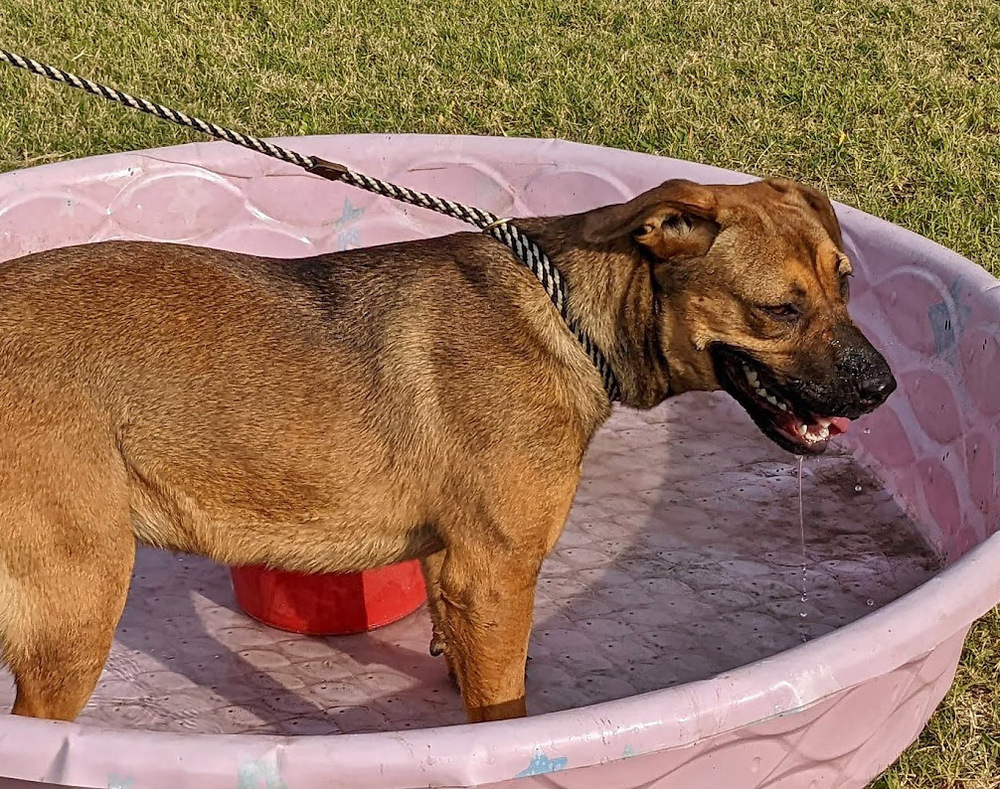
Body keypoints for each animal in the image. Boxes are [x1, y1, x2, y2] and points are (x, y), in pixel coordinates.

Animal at [0, 175, 896, 724]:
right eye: (780, 309)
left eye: (848, 281)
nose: (883, 387)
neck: (569, 315)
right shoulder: (495, 573)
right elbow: (503, 706)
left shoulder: (455, 563)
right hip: (78, 606)